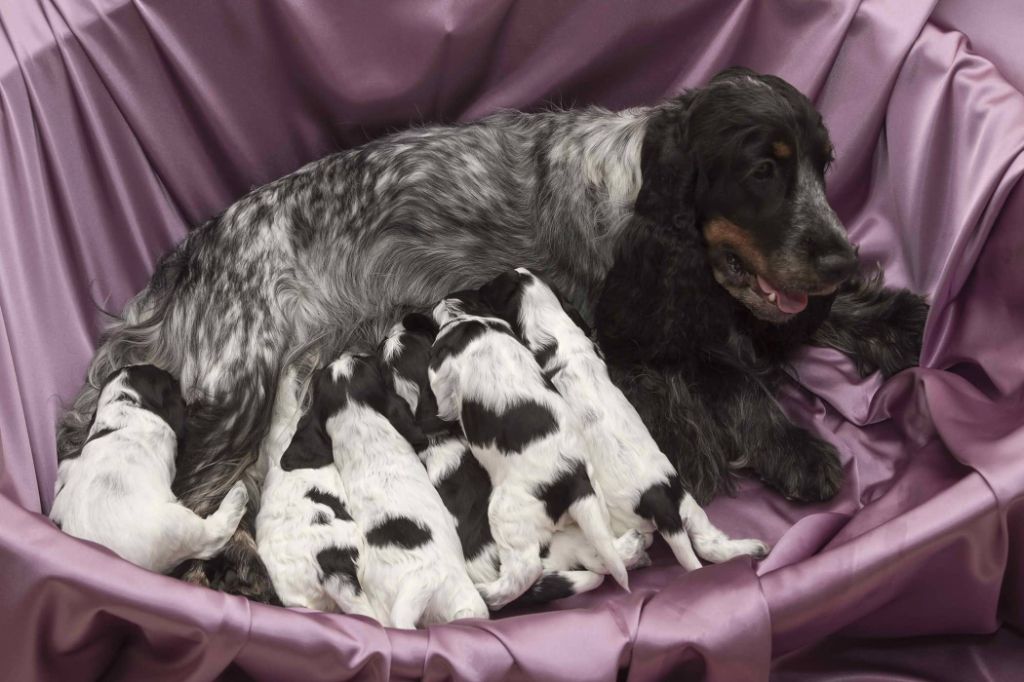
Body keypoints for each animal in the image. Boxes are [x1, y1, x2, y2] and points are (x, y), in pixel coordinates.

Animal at [479, 268, 770, 569]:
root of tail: (659, 502)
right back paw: (752, 547)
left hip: (624, 519)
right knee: (707, 543)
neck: (552, 327)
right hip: (687, 505)